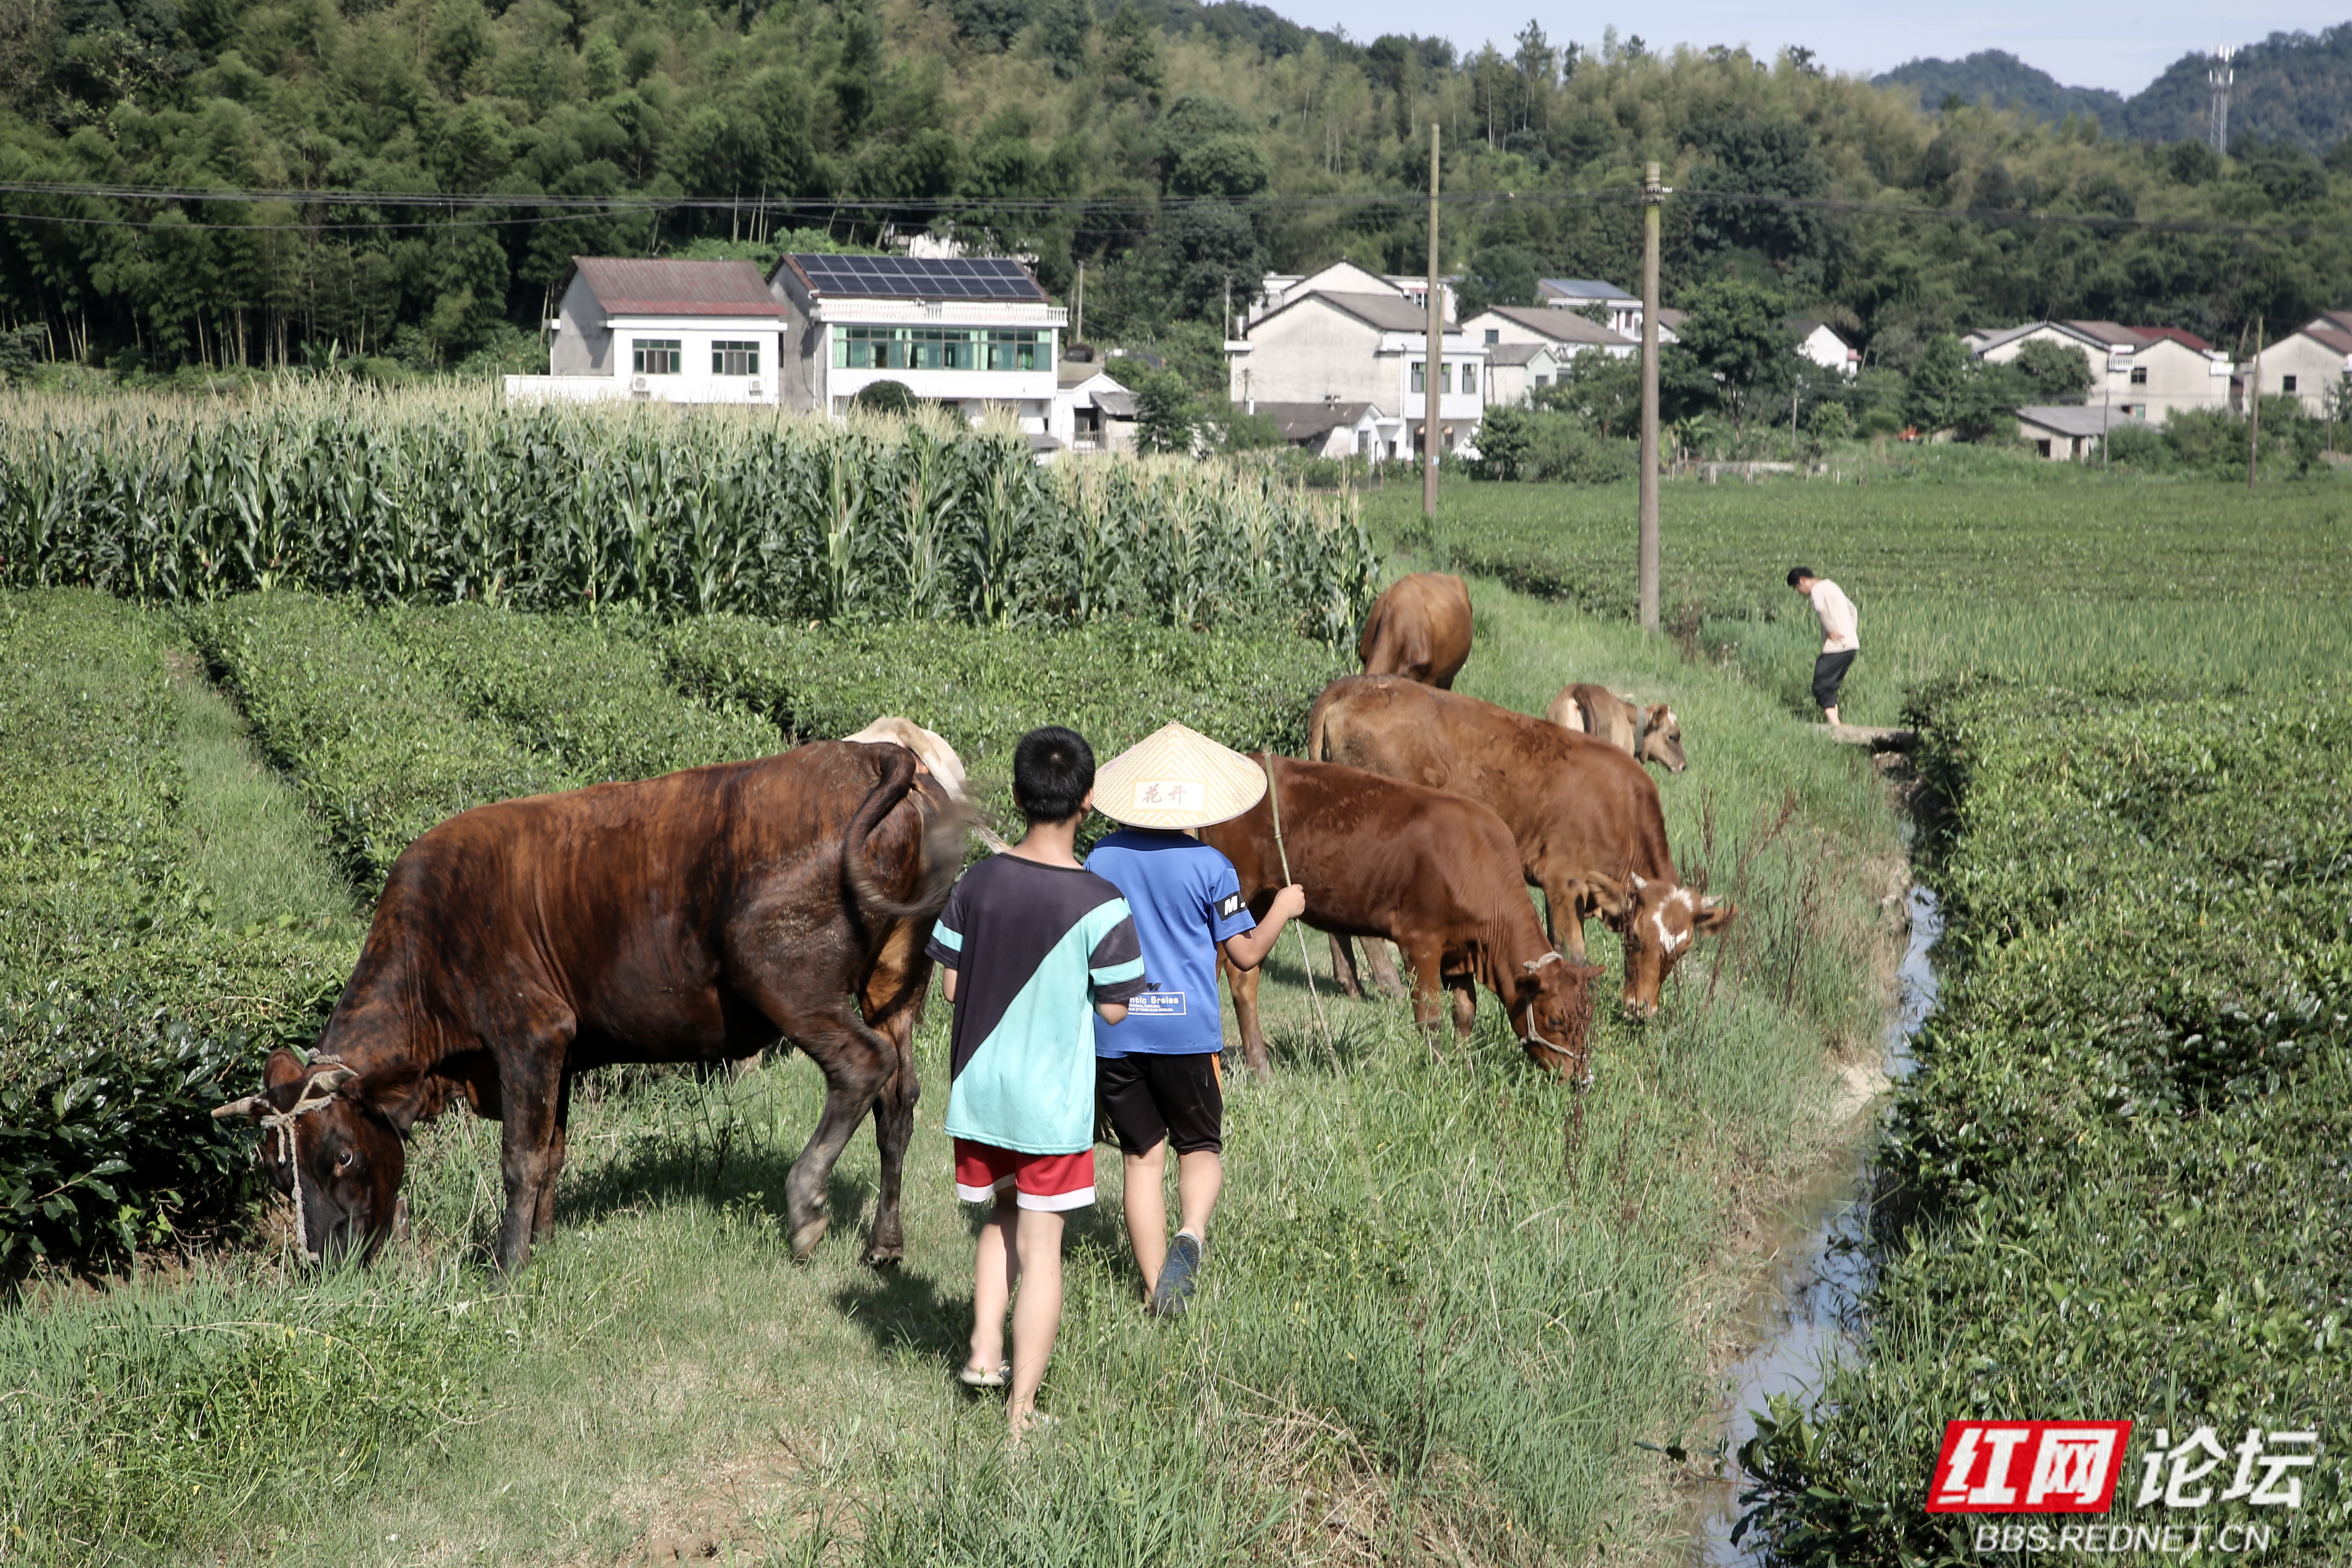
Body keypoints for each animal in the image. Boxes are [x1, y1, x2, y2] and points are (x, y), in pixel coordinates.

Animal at [212, 743, 964, 1269]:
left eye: (341, 1155)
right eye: (277, 1172)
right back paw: (884, 1243)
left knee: (862, 1067)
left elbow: (520, 1158)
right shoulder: (562, 1052)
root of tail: (871, 753)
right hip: (895, 985)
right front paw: (542, 1244)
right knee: (898, 1099)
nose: (326, 1263)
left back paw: (805, 1205)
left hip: (783, 974)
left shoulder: (528, 1033)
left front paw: (507, 1266)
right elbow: (553, 1151)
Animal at [1195, 757, 1599, 1081]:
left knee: (1245, 977)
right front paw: (1440, 1075)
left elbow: (1465, 1014)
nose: (1580, 1078)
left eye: (1587, 1019)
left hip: (1261, 901)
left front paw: (1466, 1072)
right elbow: (1431, 1017)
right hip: (1240, 890)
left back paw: (1261, 1068)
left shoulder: (1459, 952)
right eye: (1555, 1020)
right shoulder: (1420, 941)